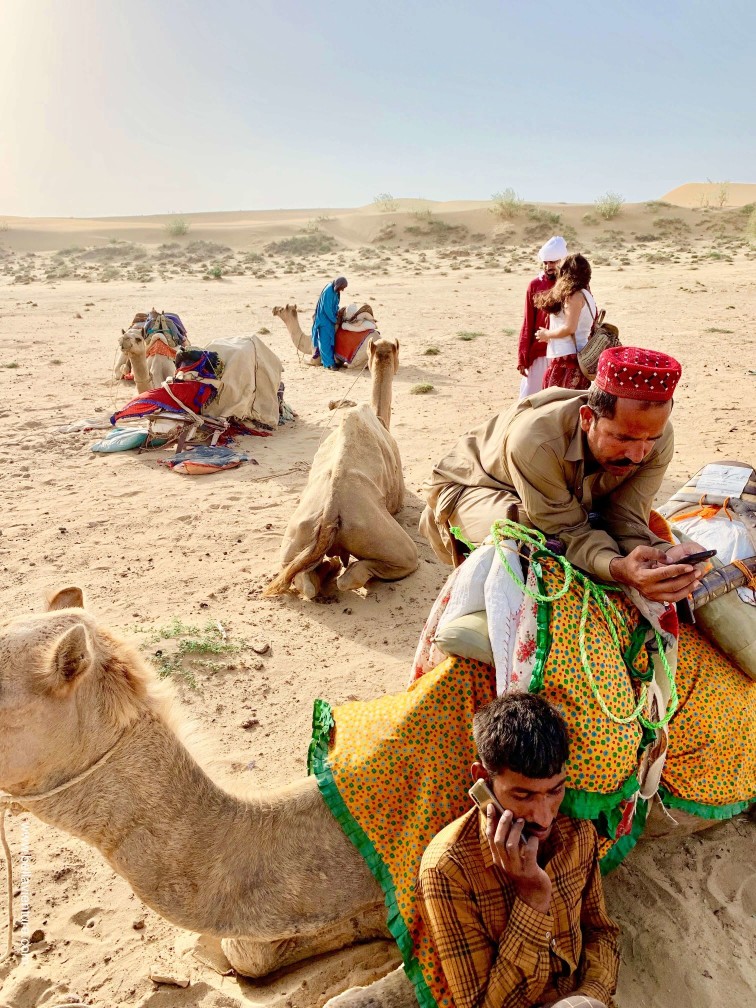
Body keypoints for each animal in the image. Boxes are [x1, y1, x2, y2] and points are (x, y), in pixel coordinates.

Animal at [265, 337, 418, 598]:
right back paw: (338, 569)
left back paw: (327, 569)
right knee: (387, 565)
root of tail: (330, 511)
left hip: (298, 532)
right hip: (377, 532)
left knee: (303, 580)